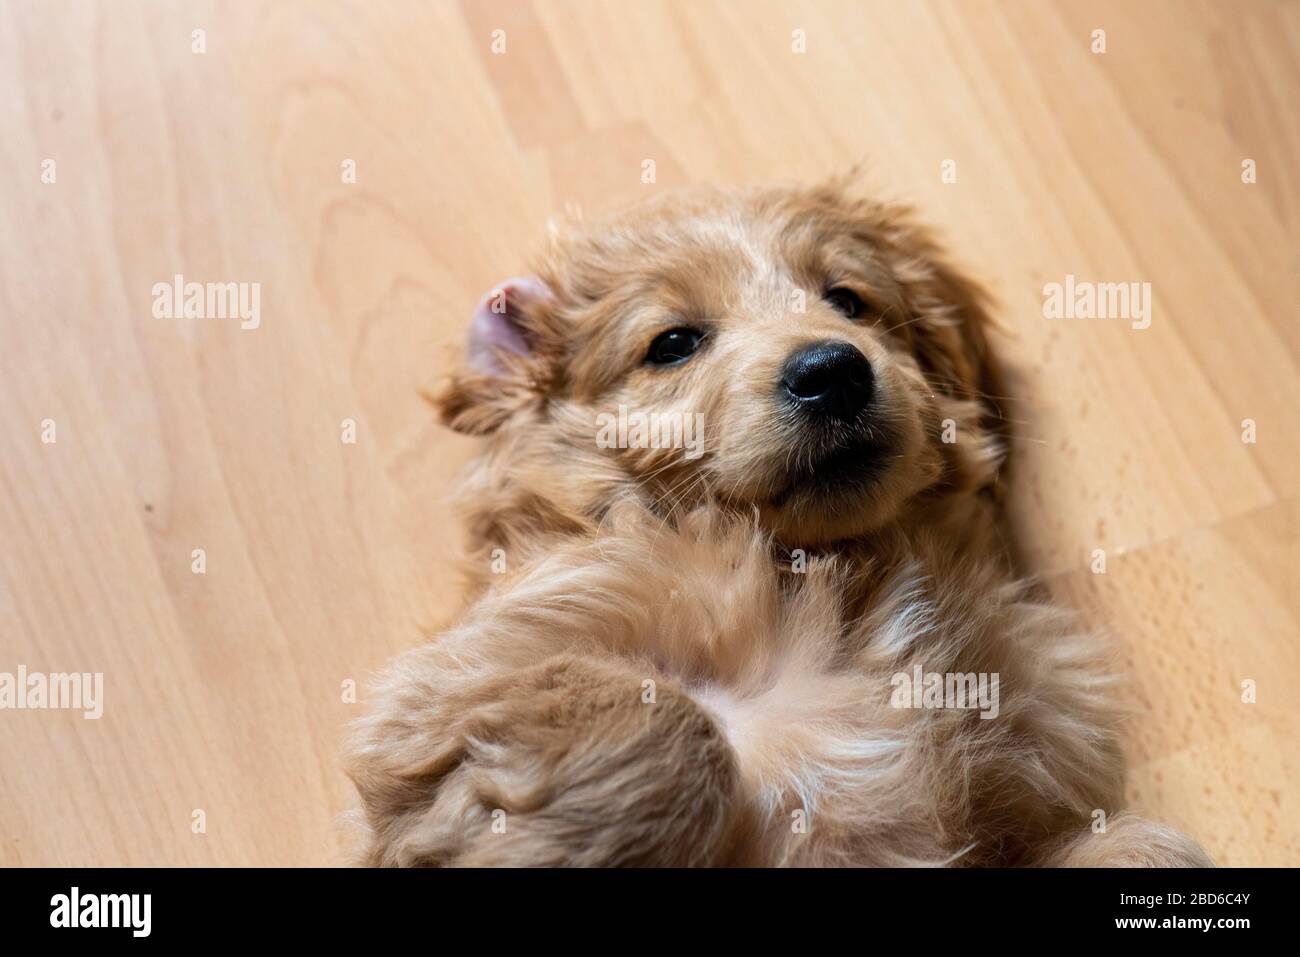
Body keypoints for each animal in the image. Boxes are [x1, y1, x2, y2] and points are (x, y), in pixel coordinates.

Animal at [343, 179, 1206, 868]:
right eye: (672, 343)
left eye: (850, 300)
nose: (832, 369)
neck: (821, 572)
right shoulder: (449, 686)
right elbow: (669, 718)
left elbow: (1146, 843)